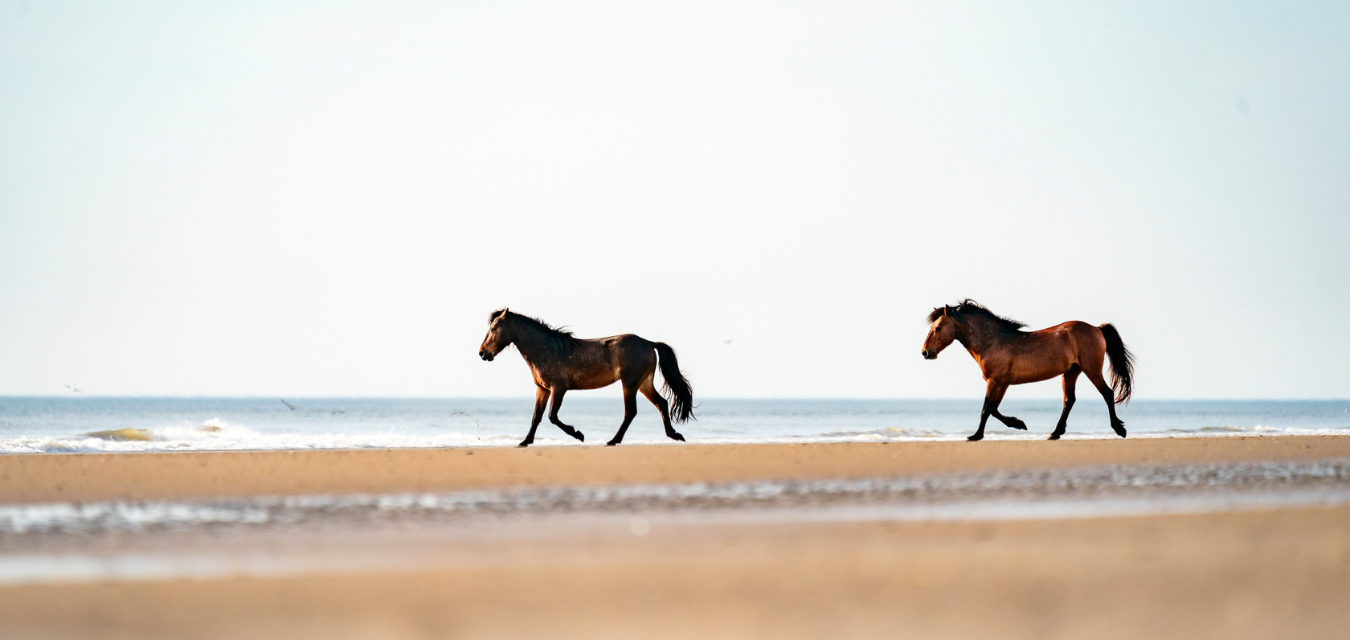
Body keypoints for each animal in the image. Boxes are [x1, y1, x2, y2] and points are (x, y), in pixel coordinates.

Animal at [478, 309, 695, 447]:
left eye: (494, 328)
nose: (482, 353)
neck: (547, 350)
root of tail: (649, 343)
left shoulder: (559, 388)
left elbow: (552, 416)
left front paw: (578, 434)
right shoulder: (543, 389)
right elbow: (536, 417)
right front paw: (525, 441)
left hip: (630, 383)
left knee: (630, 412)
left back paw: (613, 440)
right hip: (644, 383)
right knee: (662, 403)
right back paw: (674, 435)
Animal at [921, 300, 1135, 441]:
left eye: (938, 328)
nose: (925, 352)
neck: (992, 342)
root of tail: (1097, 328)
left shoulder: (995, 381)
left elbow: (986, 409)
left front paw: (976, 436)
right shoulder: (1003, 383)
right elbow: (994, 409)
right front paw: (1018, 423)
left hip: (1091, 369)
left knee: (1107, 393)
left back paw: (1119, 429)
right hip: (1071, 372)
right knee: (1069, 400)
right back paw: (1055, 433)